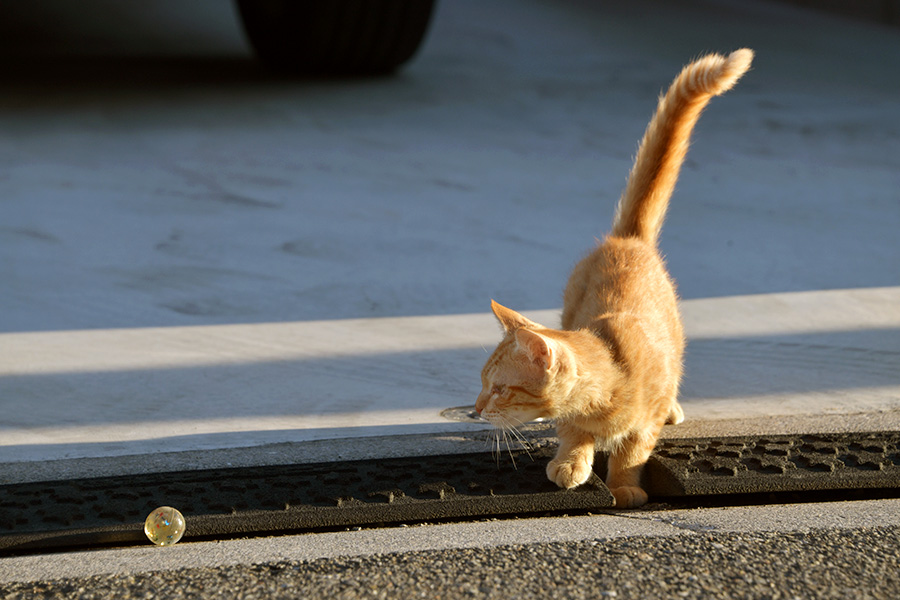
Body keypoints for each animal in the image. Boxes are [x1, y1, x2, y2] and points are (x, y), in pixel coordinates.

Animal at [478, 49, 752, 506]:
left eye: (499, 389)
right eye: (483, 384)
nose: (477, 409)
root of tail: (628, 239)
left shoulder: (645, 422)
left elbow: (634, 450)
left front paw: (624, 485)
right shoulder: (574, 415)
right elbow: (572, 430)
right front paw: (571, 461)